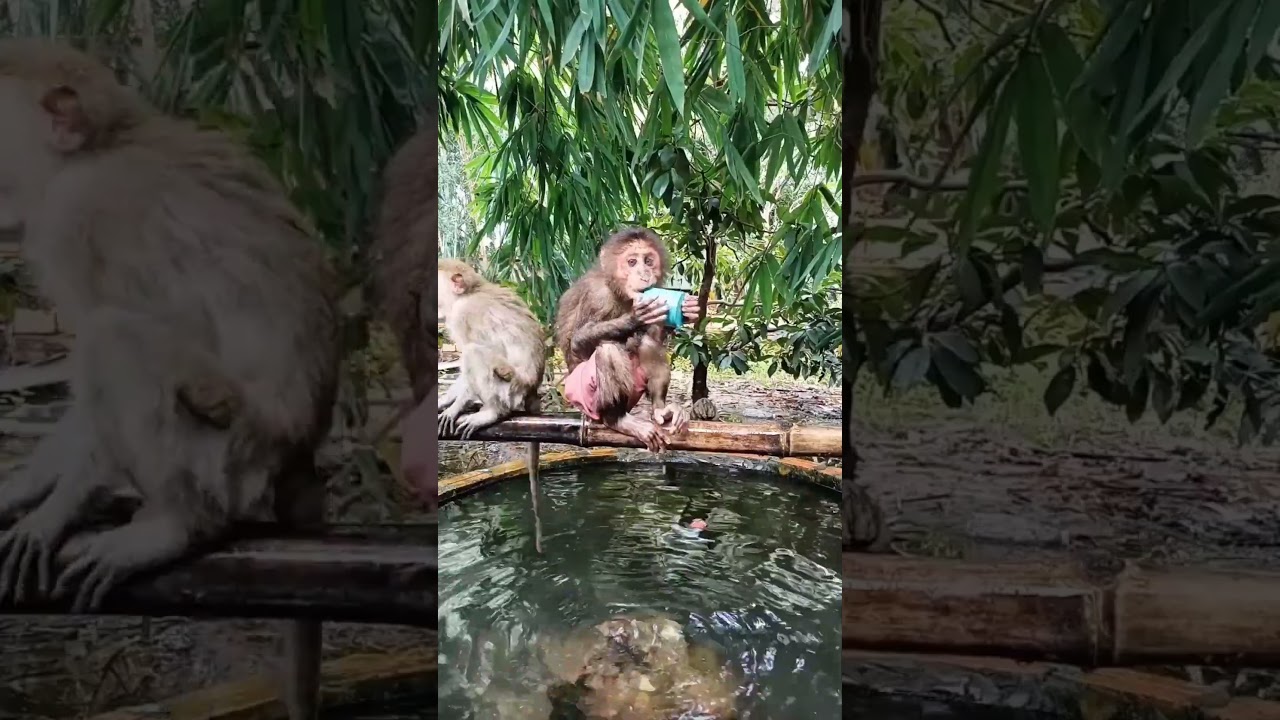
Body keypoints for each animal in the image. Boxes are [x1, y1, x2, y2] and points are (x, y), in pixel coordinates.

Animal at [0, 39, 340, 720]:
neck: (102, 144)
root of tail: (299, 450)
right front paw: (19, 488)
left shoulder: (76, 216)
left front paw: (55, 509)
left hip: (227, 457)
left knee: (117, 339)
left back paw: (177, 525)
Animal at [436, 259, 546, 486]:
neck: (469, 293)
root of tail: (533, 388)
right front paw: (444, 400)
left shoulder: (463, 314)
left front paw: (456, 407)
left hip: (510, 389)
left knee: (475, 352)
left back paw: (493, 412)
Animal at [553, 228, 702, 452]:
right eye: (632, 262)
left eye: (648, 261)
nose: (644, 273)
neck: (620, 292)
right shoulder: (597, 296)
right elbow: (578, 342)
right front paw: (636, 316)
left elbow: (653, 335)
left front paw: (685, 311)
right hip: (582, 396)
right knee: (608, 350)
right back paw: (616, 418)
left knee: (648, 344)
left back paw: (660, 409)